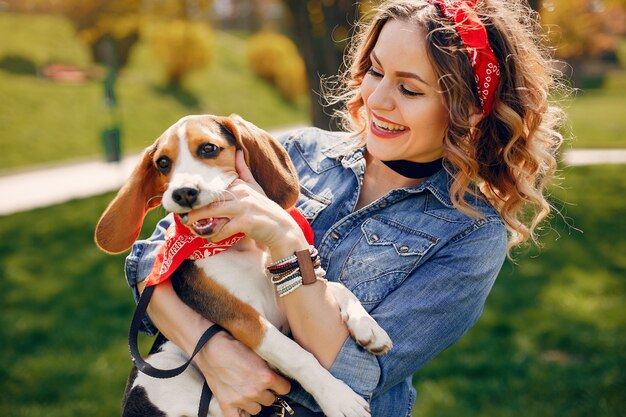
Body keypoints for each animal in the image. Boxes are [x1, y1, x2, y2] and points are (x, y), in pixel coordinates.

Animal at [94, 114, 390, 416]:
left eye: (208, 148)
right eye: (163, 163)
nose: (183, 193)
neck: (240, 245)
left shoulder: (286, 305)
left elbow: (336, 288)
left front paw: (368, 327)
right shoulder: (245, 320)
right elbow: (295, 354)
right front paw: (337, 397)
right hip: (161, 369)